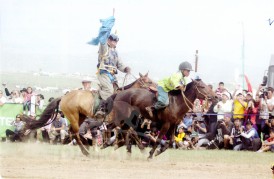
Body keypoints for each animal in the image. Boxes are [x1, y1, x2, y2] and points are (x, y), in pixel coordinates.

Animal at [21, 72, 156, 156]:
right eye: (149, 82)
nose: (157, 90)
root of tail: (64, 97)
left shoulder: (120, 124)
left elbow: (129, 135)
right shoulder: (120, 123)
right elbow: (131, 134)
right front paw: (142, 150)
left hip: (81, 117)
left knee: (73, 132)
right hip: (74, 117)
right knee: (75, 133)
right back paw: (86, 150)